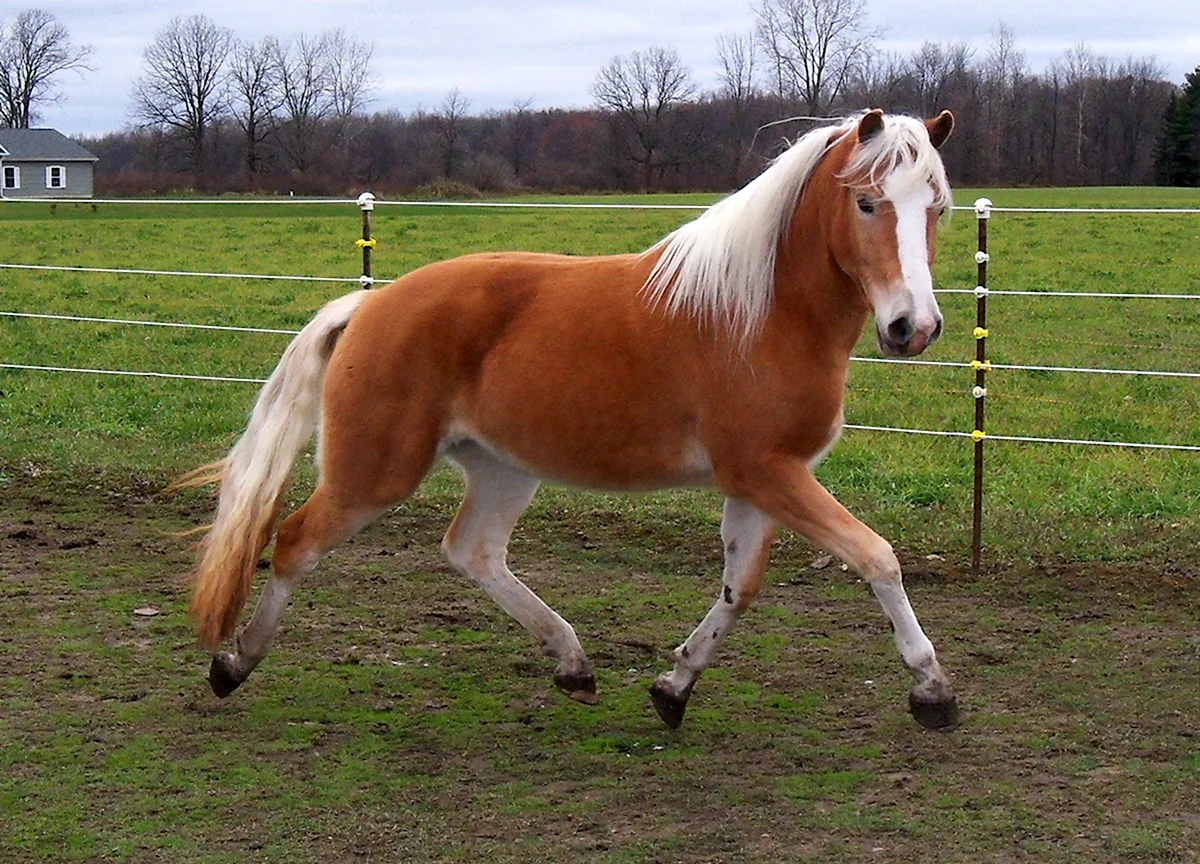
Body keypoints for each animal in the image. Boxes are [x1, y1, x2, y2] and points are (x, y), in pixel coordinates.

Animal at [182, 106, 960, 729]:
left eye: (938, 208)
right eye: (867, 202)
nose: (912, 328)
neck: (763, 312)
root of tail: (370, 306)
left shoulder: (763, 481)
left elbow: (740, 590)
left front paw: (673, 688)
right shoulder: (768, 473)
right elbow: (877, 557)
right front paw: (932, 690)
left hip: (502, 468)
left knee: (472, 551)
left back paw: (573, 662)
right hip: (373, 474)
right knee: (292, 543)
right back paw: (232, 664)